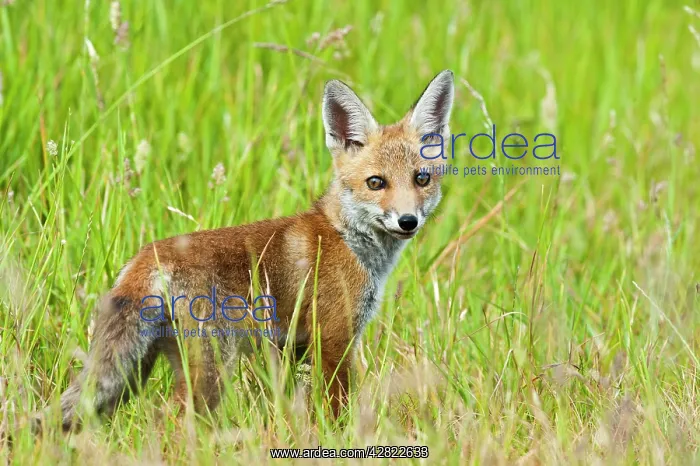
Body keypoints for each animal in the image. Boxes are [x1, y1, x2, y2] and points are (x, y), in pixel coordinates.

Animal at [33, 69, 455, 433]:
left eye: (421, 179)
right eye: (376, 183)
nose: (407, 221)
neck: (346, 237)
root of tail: (146, 256)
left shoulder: (291, 348)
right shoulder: (334, 338)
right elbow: (337, 412)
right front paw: (342, 441)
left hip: (140, 371)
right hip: (210, 373)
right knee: (169, 423)